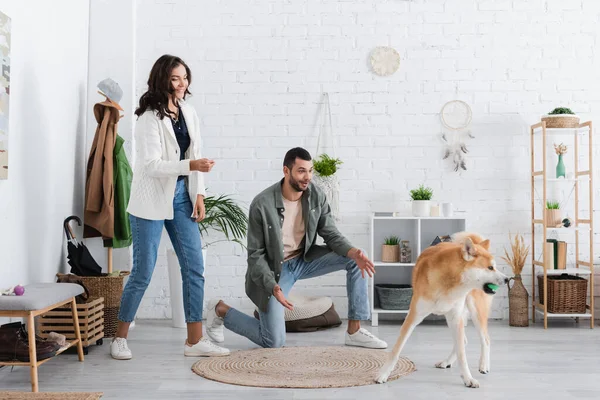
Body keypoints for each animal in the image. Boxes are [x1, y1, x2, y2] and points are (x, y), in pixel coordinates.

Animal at [378, 231, 508, 388]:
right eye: (490, 268)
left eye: (494, 267)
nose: (508, 279)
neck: (451, 282)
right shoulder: (413, 316)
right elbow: (396, 350)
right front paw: (384, 374)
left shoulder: (456, 318)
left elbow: (462, 354)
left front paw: (468, 378)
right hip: (452, 318)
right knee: (464, 341)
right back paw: (447, 362)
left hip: (474, 312)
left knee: (485, 339)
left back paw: (483, 365)